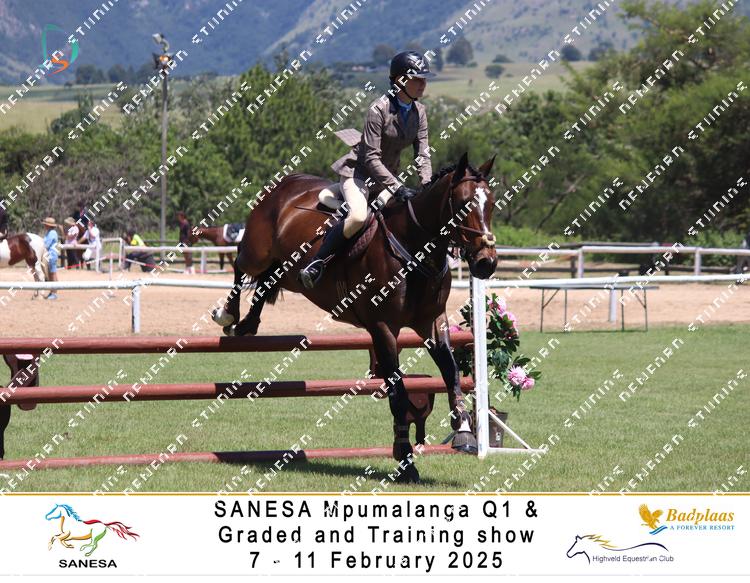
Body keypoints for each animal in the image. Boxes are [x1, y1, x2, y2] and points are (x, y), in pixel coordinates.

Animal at [211, 152, 498, 483]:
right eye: (464, 204)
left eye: (491, 204)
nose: (486, 263)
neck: (414, 248)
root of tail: (287, 181)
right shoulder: (383, 328)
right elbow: (398, 395)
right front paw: (406, 461)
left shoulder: (433, 322)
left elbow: (451, 373)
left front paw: (464, 432)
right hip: (258, 251)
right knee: (240, 264)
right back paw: (227, 315)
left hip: (288, 270)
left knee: (268, 282)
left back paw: (247, 325)